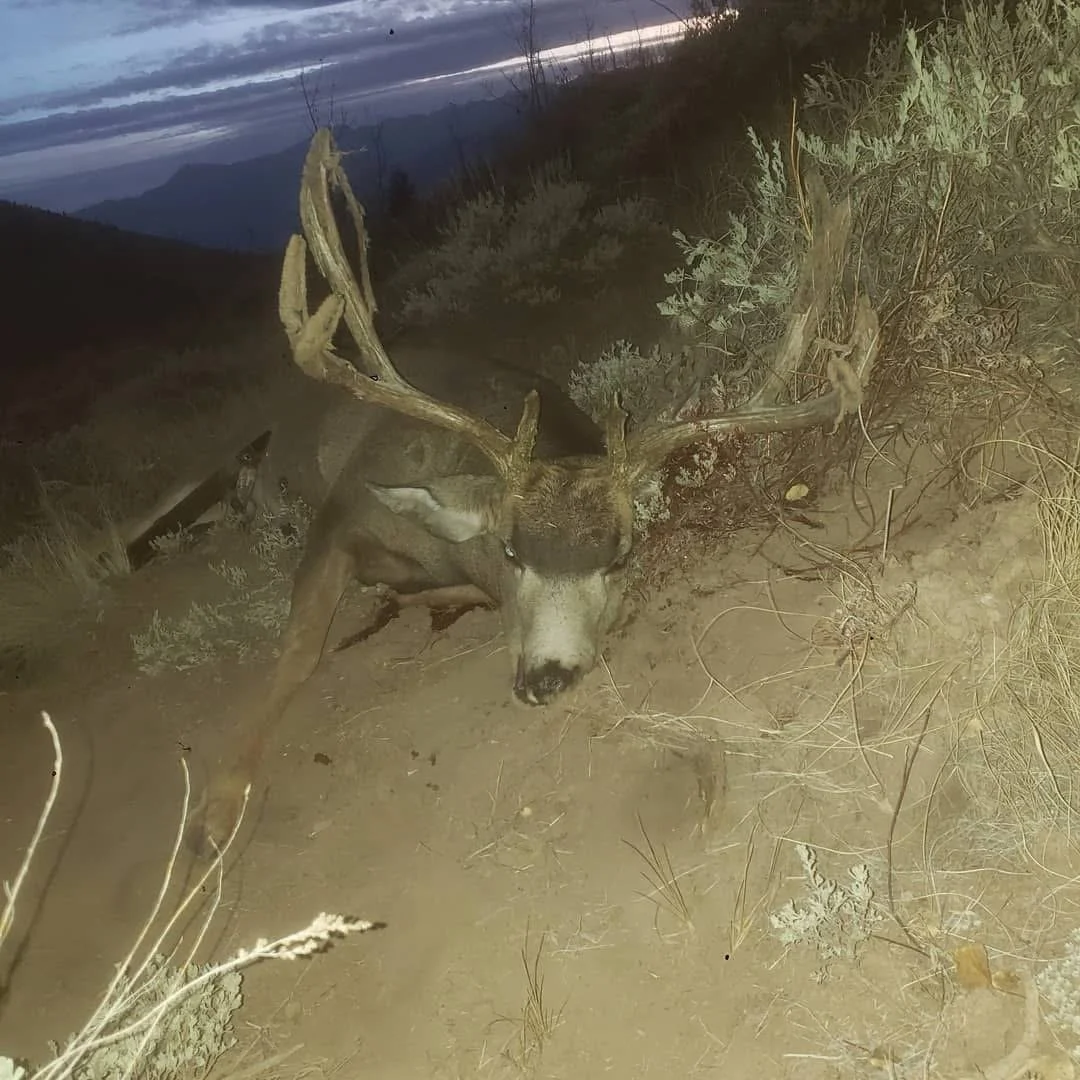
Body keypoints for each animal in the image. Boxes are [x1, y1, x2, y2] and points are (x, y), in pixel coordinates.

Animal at [188, 129, 878, 854]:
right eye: (512, 552)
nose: (548, 677)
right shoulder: (344, 511)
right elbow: (298, 650)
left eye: (619, 560)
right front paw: (214, 815)